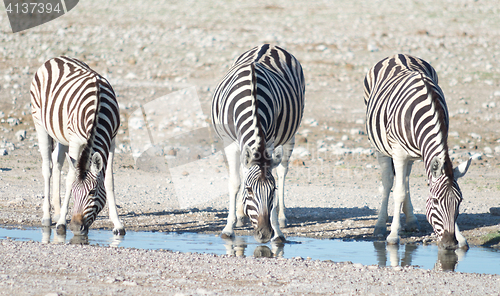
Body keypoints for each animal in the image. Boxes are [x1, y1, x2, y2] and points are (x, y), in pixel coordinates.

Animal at [30, 55, 125, 236]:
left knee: (57, 161)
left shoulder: (112, 141)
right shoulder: (75, 141)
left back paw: (58, 211)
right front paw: (61, 224)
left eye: (93, 192)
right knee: (47, 167)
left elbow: (109, 180)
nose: (75, 226)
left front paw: (117, 224)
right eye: (73, 192)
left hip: (61, 135)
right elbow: (70, 178)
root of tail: (55, 58)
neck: (98, 108)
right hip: (40, 123)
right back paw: (48, 217)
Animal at [211, 44, 304, 243]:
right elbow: (235, 181)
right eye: (249, 190)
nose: (264, 234)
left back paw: (282, 217)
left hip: (290, 134)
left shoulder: (269, 140)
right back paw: (240, 215)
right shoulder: (230, 142)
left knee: (282, 171)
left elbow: (274, 177)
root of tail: (269, 44)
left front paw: (277, 231)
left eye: (272, 191)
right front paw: (229, 228)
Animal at [362, 53, 470, 250]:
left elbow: (405, 186)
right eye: (435, 201)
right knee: (388, 181)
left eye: (460, 201)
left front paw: (461, 238)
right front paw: (393, 236)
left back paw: (411, 219)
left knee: (405, 179)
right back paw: (380, 225)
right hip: (381, 147)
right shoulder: (397, 152)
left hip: (411, 154)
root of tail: (398, 54)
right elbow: (398, 192)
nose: (450, 243)